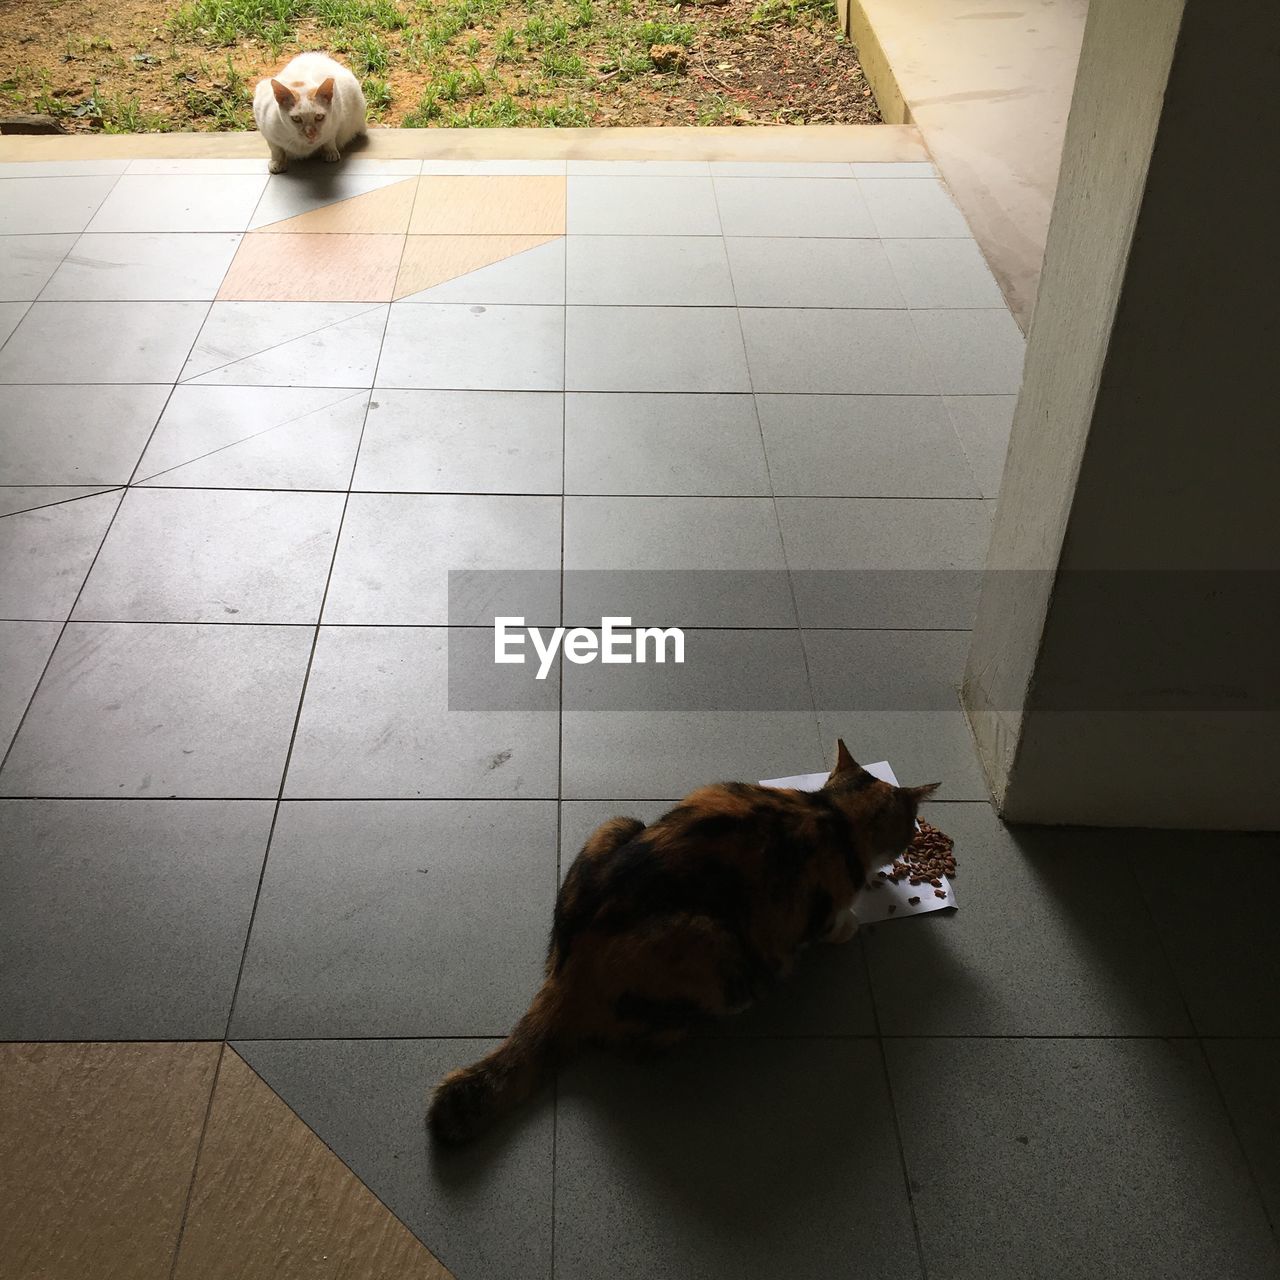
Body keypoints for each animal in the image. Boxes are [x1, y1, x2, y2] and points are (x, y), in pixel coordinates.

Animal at [430, 747, 942, 1146]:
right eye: (911, 825)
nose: (912, 840)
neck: (832, 811)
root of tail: (570, 974)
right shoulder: (819, 907)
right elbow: (835, 924)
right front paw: (853, 923)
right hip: (719, 953)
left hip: (616, 824)